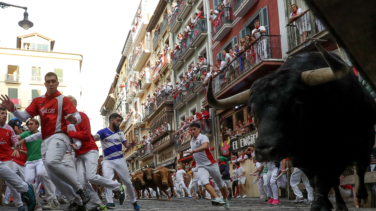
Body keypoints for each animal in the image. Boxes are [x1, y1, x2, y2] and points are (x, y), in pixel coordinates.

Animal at [207, 44, 376, 211]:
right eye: (253, 111)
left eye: (295, 104)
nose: (265, 151)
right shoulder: (301, 160)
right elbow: (317, 181)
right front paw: (322, 203)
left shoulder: (338, 152)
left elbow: (324, 179)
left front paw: (320, 205)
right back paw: (340, 204)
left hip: (365, 142)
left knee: (361, 167)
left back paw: (361, 195)